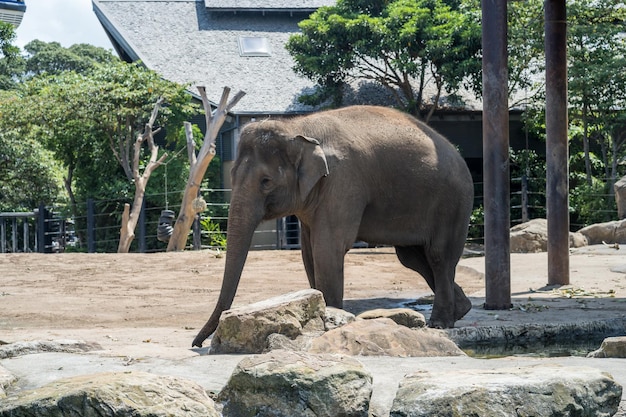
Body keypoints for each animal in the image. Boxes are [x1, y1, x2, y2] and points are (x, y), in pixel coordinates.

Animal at [191, 105, 472, 346]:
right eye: (232, 175)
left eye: (266, 181)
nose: (196, 343)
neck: (297, 126)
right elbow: (308, 253)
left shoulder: (343, 181)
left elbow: (327, 248)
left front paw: (332, 320)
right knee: (412, 257)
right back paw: (461, 309)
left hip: (452, 203)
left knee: (438, 256)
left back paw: (440, 323)